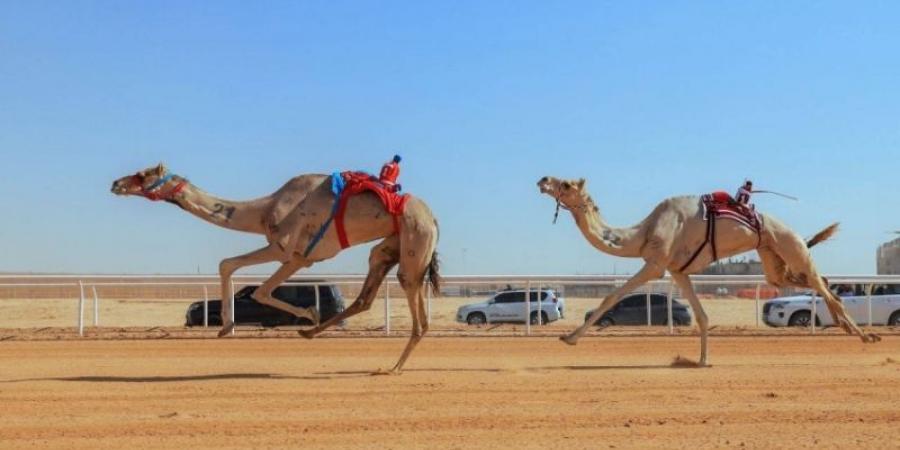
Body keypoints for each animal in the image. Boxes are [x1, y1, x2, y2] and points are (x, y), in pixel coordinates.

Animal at [110, 163, 442, 374]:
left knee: (415, 304)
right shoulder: (295, 256)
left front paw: (308, 312)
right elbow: (228, 265)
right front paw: (226, 327)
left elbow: (260, 291)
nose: (115, 183)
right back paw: (310, 333)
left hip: (415, 237)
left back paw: (393, 368)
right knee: (368, 288)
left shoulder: (291, 253)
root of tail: (434, 218)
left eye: (142, 175)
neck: (263, 210)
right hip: (392, 243)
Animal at [536, 176, 876, 366]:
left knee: (821, 282)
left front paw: (569, 338)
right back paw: (850, 328)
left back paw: (864, 335)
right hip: (771, 258)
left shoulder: (656, 265)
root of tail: (793, 232)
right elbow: (701, 315)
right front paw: (701, 359)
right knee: (813, 282)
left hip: (790, 246)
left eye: (566, 184)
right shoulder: (678, 271)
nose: (542, 179)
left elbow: (611, 297)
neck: (644, 232)